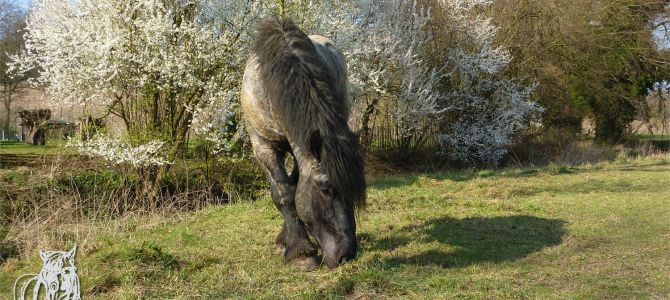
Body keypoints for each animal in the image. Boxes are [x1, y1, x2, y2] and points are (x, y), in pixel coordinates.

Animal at [242, 17, 368, 270]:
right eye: (326, 189)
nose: (346, 255)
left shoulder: (302, 145)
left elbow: (294, 187)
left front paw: (295, 244)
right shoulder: (263, 146)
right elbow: (284, 193)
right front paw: (301, 252)